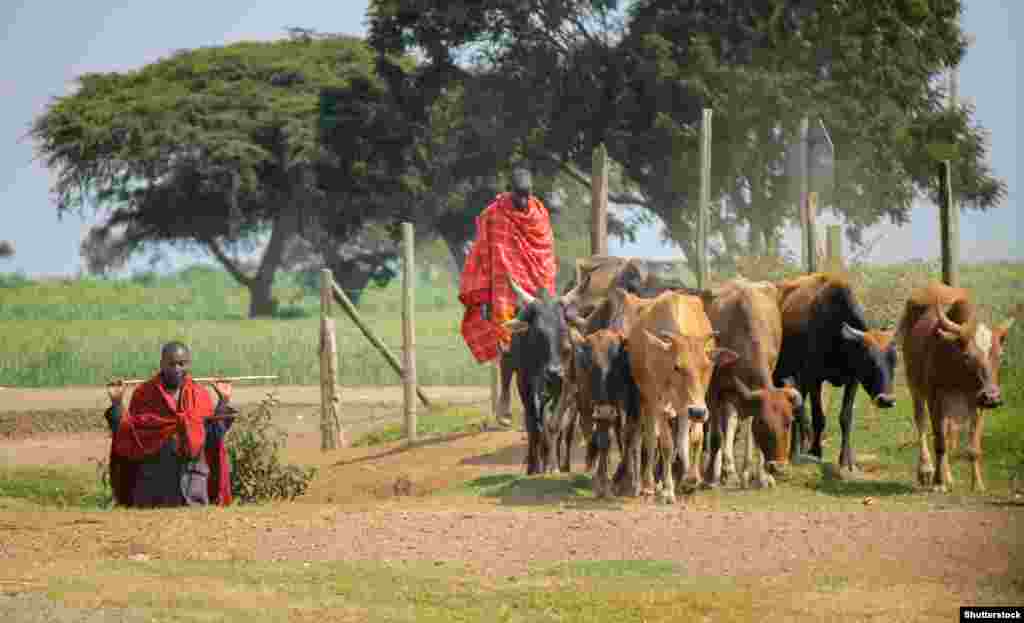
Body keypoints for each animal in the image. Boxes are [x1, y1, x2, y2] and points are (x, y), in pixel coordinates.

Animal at [622, 291, 737, 502]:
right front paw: (667, 490)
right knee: (651, 439)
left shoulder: (698, 402)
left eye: (706, 366)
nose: (698, 412)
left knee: (682, 437)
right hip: (648, 402)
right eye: (677, 366)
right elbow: (665, 444)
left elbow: (695, 438)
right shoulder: (659, 403)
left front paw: (691, 479)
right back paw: (649, 485)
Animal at [708, 280, 802, 489]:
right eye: (764, 424)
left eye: (789, 422)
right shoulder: (717, 391)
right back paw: (724, 471)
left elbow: (751, 432)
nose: (778, 467)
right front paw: (720, 475)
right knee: (726, 425)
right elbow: (719, 434)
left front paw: (762, 476)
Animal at [901, 282, 1011, 491]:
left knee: (947, 431)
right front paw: (938, 483)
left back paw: (948, 477)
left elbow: (973, 448)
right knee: (921, 424)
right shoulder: (935, 398)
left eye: (1000, 356)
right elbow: (939, 443)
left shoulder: (977, 403)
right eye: (967, 356)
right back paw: (926, 470)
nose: (992, 397)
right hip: (915, 387)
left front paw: (977, 484)